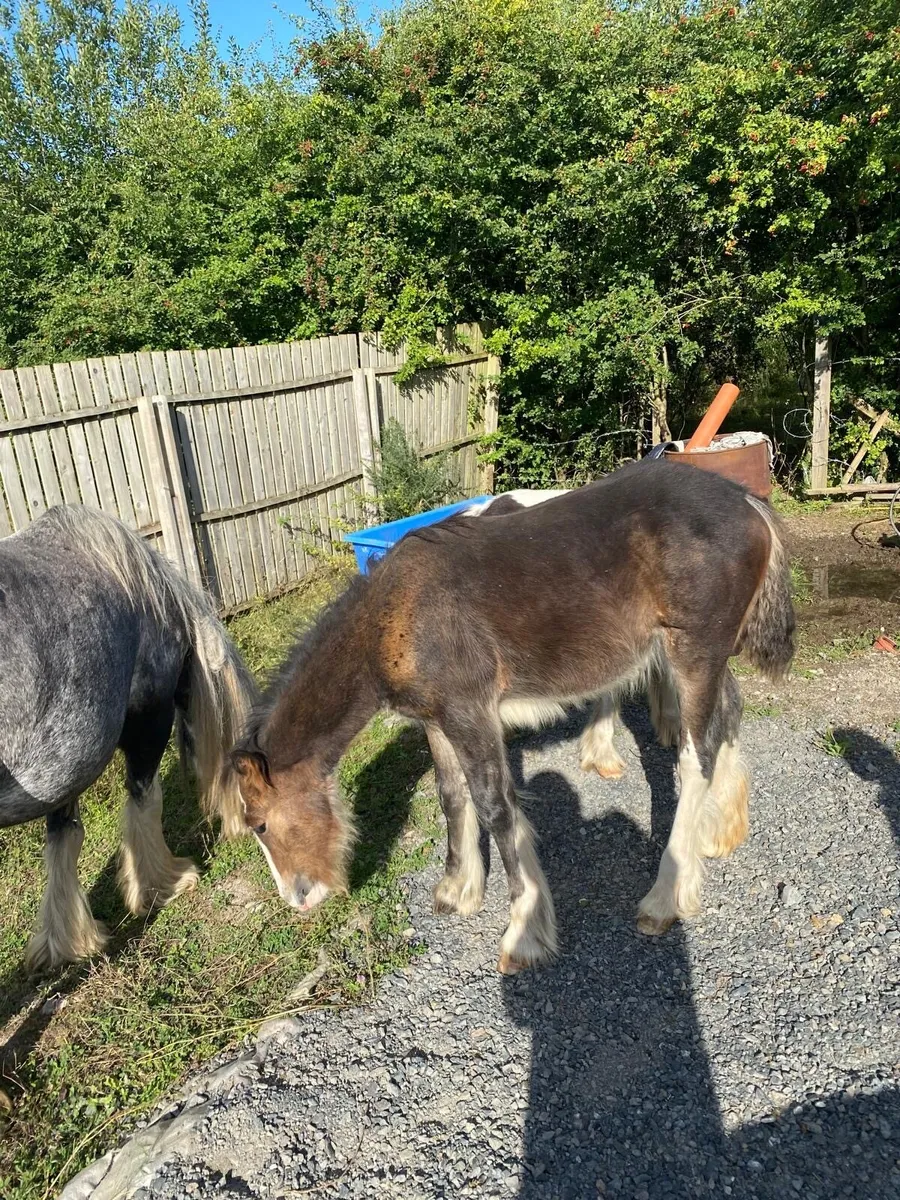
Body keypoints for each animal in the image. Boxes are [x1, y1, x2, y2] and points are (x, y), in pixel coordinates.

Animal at [0, 505, 256, 972]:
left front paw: (67, 943)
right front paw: (162, 885)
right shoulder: (146, 721)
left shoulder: (65, 759)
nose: (247, 821)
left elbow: (64, 839)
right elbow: (145, 803)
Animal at [231, 460, 795, 974]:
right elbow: (452, 797)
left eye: (260, 824)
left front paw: (523, 930)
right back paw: (719, 831)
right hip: (706, 659)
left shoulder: (470, 713)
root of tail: (748, 502)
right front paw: (459, 889)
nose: (299, 897)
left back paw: (665, 897)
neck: (395, 618)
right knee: (728, 715)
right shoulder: (438, 719)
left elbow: (495, 807)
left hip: (694, 654)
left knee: (695, 758)